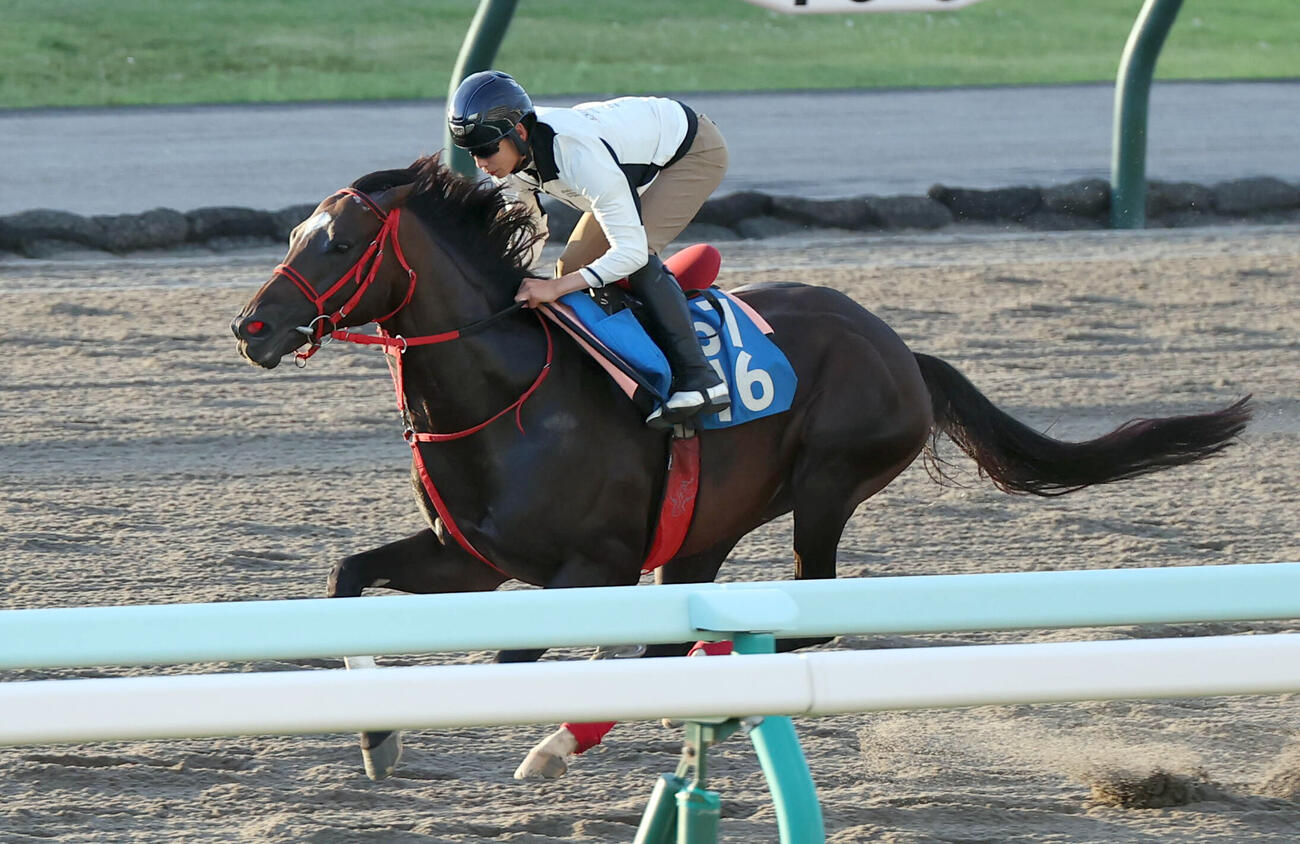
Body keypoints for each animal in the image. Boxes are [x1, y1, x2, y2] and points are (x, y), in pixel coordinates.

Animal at [232, 154, 1251, 779]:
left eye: (336, 241)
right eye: (292, 235)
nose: (252, 327)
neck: (508, 390)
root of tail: (901, 348)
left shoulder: (590, 568)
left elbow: (506, 666)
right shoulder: (471, 558)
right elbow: (347, 576)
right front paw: (376, 740)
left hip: (827, 484)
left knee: (809, 614)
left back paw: (602, 724)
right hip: (705, 528)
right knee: (681, 633)